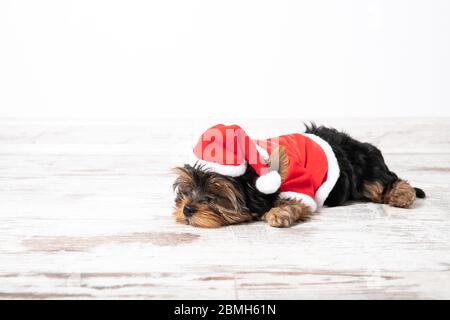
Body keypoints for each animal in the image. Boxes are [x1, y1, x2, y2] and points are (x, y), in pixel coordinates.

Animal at [172, 123, 426, 228]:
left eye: (215, 195)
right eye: (186, 189)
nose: (188, 209)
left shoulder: (300, 184)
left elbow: (295, 200)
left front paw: (278, 213)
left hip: (366, 169)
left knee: (383, 181)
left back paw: (402, 195)